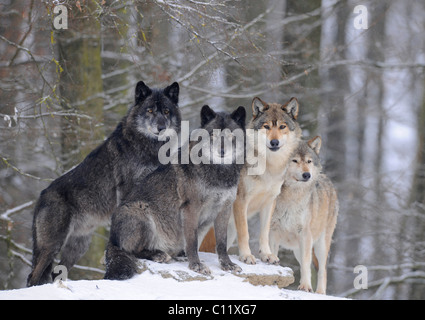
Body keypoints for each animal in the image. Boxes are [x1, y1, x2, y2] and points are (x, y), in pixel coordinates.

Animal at [26, 81, 179, 286]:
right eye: (149, 110)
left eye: (166, 111)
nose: (161, 127)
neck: (150, 147)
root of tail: (41, 196)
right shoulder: (128, 191)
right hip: (52, 245)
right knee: (34, 276)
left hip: (78, 248)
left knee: (55, 273)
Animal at [103, 105, 247, 280]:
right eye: (213, 135)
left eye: (231, 135)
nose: (222, 151)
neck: (218, 173)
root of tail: (111, 239)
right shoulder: (191, 208)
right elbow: (192, 241)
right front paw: (196, 265)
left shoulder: (224, 209)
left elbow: (222, 243)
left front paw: (227, 265)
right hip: (141, 210)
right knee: (131, 251)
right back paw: (159, 254)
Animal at [268, 136, 338, 294]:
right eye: (294, 160)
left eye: (309, 161)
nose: (307, 175)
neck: (291, 198)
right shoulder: (273, 232)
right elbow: (273, 254)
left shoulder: (305, 234)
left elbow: (306, 265)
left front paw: (305, 287)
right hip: (297, 250)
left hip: (320, 245)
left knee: (322, 270)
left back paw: (319, 292)